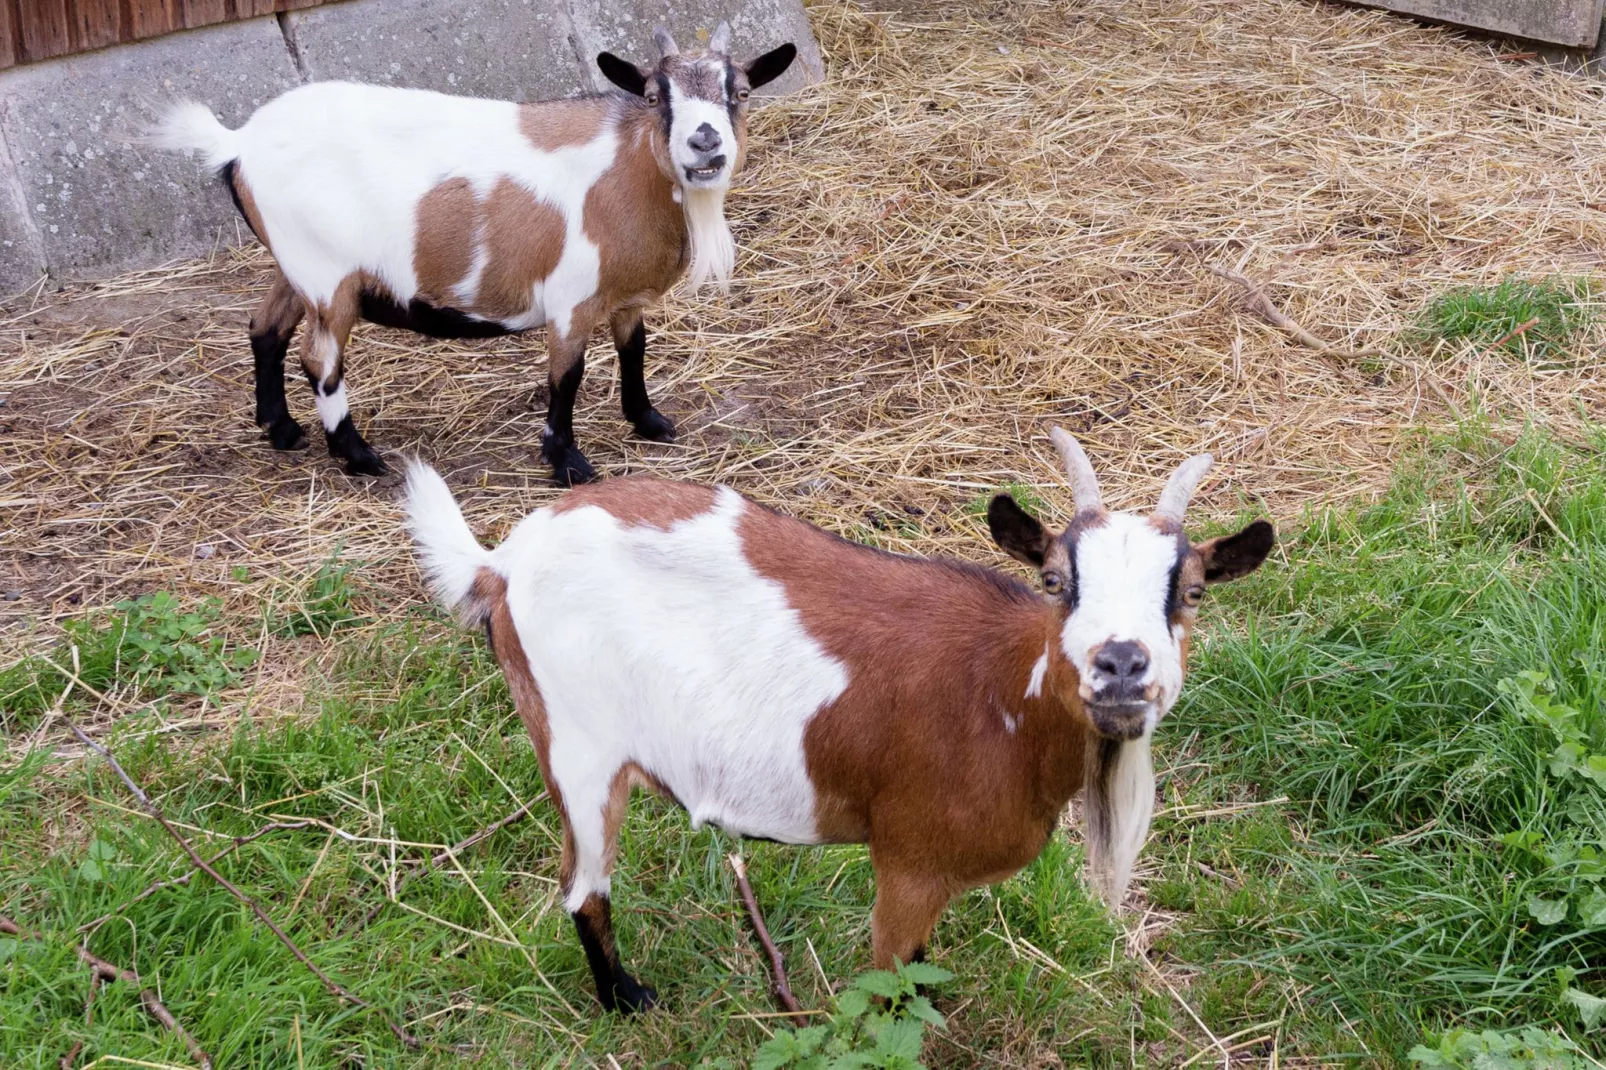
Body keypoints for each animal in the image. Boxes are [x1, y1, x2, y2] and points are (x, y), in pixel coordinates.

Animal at [156, 22, 796, 481]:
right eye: (654, 95)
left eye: (740, 93)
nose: (704, 141)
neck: (627, 170)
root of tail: (238, 142)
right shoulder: (570, 299)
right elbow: (567, 375)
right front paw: (568, 463)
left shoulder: (623, 297)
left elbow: (634, 350)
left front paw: (649, 421)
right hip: (327, 276)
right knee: (320, 361)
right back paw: (358, 456)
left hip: (297, 265)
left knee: (266, 328)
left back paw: (282, 430)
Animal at [404, 427, 1278, 1008]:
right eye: (1059, 581)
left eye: (1190, 591)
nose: (1121, 663)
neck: (1003, 694)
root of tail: (500, 563)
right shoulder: (909, 863)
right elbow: (889, 989)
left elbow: (920, 971)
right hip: (577, 748)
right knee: (582, 887)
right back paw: (628, 998)